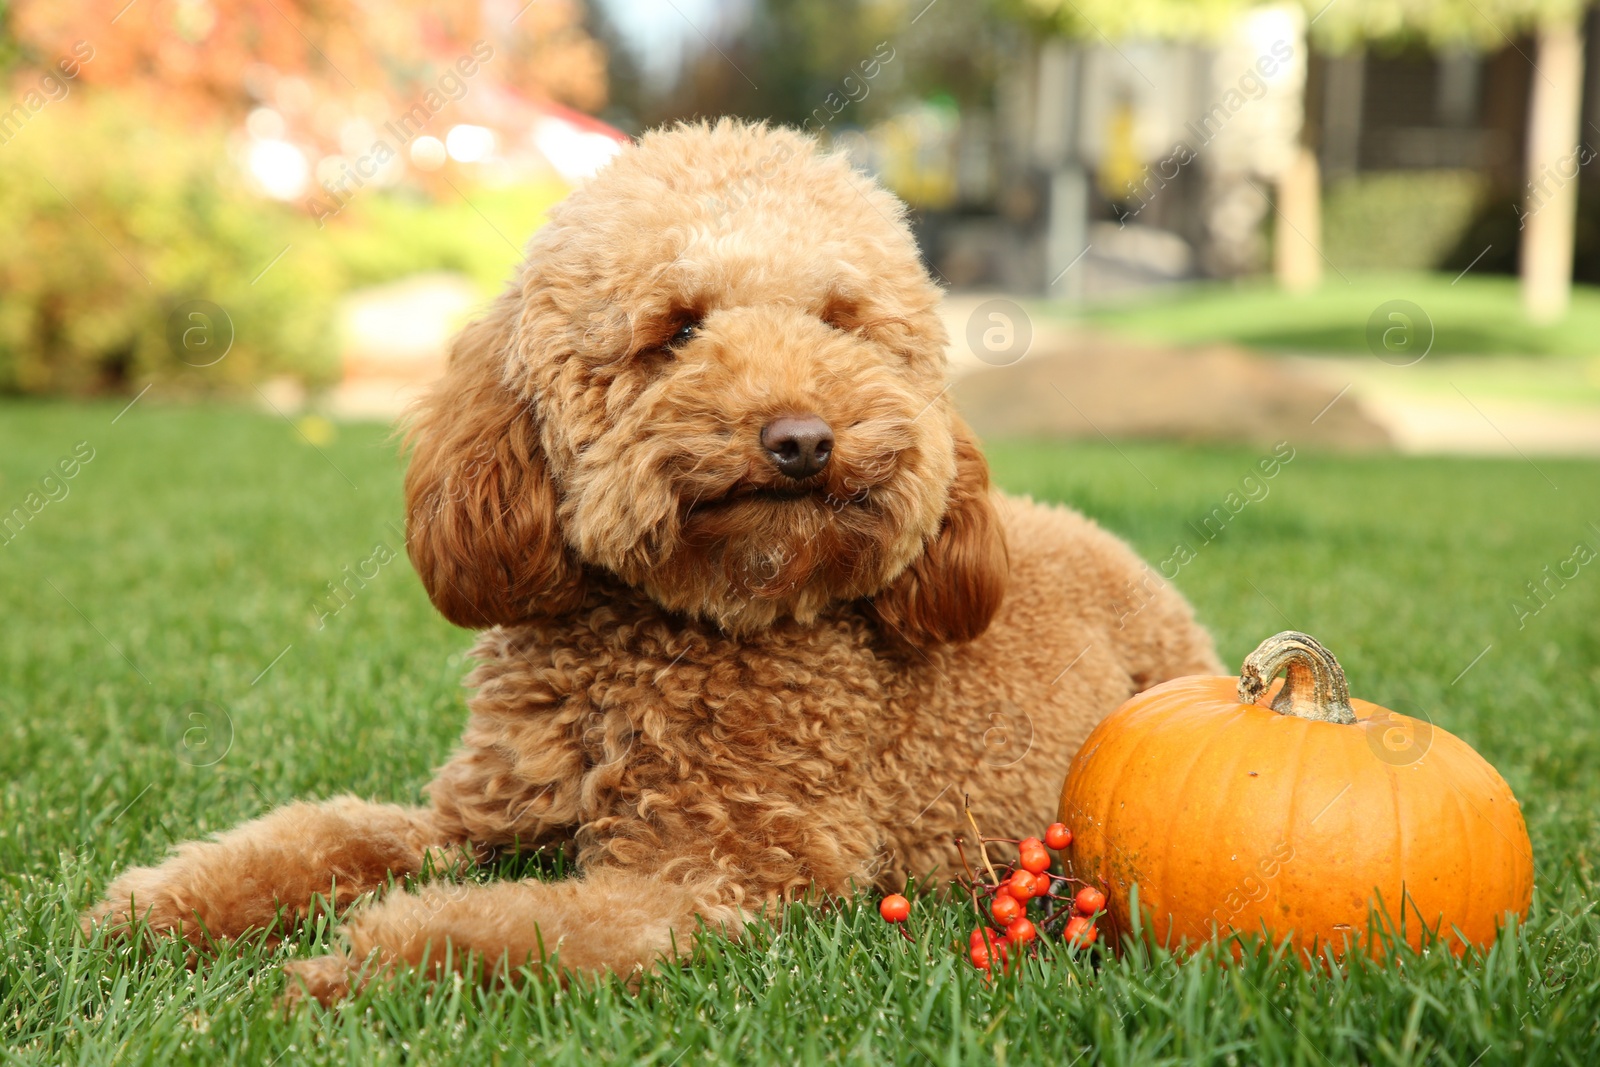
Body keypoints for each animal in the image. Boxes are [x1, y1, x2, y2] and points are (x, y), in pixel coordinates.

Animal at [84, 120, 1209, 1004]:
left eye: (841, 324)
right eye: (675, 331)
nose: (802, 438)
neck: (662, 641)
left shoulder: (712, 874)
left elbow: (513, 925)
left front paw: (364, 962)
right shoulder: (473, 817)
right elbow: (327, 833)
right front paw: (163, 905)